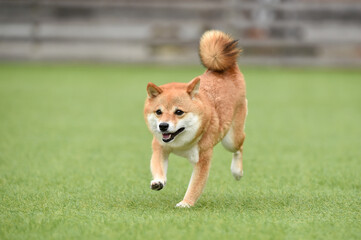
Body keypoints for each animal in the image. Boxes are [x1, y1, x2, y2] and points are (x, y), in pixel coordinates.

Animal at [143, 30, 248, 207]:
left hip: (231, 139)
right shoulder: (160, 147)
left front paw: (186, 203)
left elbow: (195, 185)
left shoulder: (203, 159)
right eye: (158, 112)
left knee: (239, 147)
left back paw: (237, 172)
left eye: (179, 112)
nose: (163, 126)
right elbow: (158, 168)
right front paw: (158, 181)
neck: (180, 144)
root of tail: (227, 69)